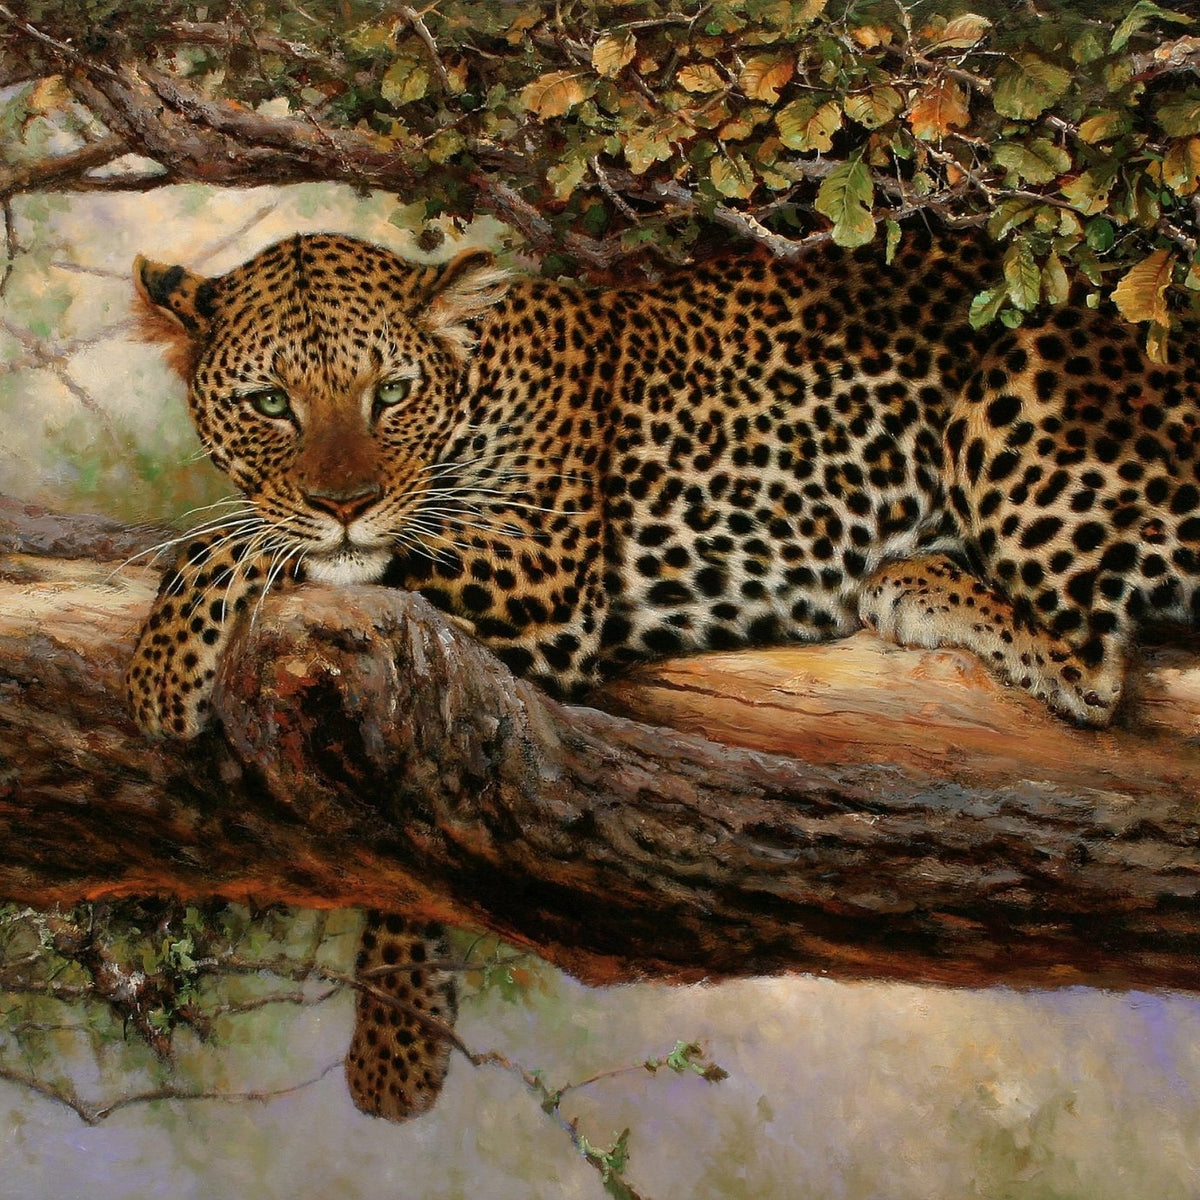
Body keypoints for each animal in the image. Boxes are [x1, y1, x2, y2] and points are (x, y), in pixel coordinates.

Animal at [127, 227, 1200, 1119]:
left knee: (1092, 663)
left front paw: (164, 663)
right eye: (270, 403)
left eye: (390, 392)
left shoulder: (541, 573)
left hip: (1018, 380)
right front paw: (398, 1043)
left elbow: (257, 543)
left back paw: (918, 583)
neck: (474, 386)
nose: (345, 501)